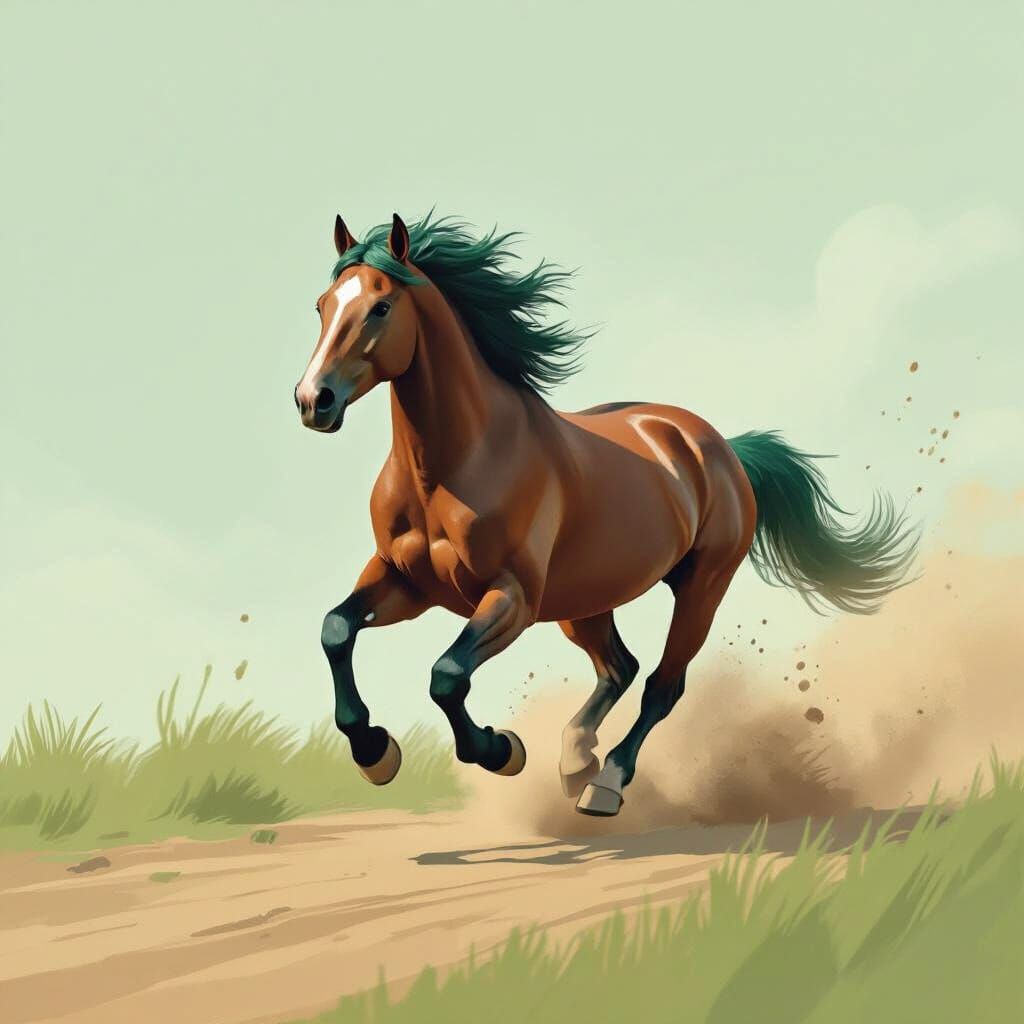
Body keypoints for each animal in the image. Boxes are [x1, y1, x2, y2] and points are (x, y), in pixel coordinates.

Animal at [293, 211, 918, 817]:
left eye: (381, 306)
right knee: (620, 667)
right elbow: (336, 630)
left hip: (701, 586)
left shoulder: (512, 599)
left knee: (661, 685)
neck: (453, 467)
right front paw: (375, 753)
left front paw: (501, 750)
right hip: (585, 600)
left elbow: (447, 677)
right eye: (322, 305)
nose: (312, 400)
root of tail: (718, 445)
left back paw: (605, 783)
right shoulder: (406, 581)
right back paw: (575, 760)